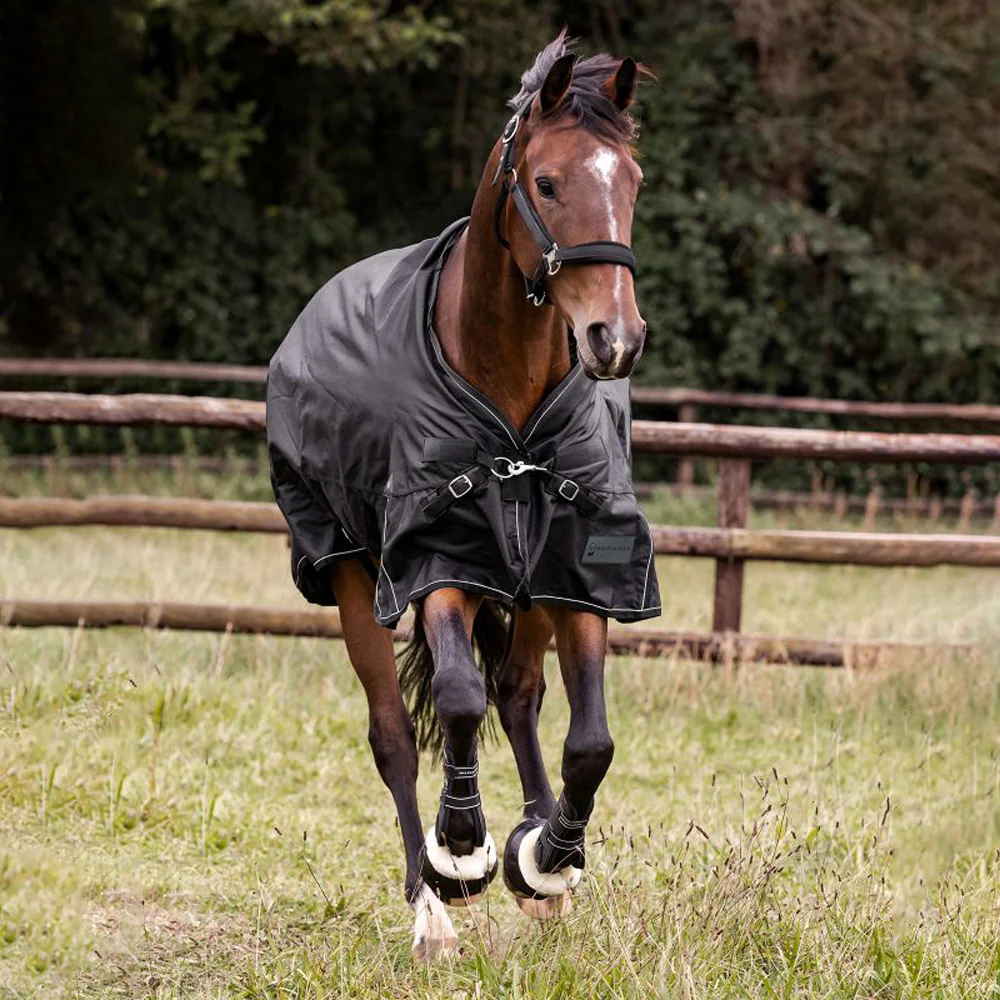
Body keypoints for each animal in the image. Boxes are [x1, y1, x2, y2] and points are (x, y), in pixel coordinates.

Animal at [266, 32, 658, 960]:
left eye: (631, 181)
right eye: (546, 182)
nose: (614, 339)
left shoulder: (575, 569)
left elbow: (590, 740)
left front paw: (546, 856)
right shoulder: (435, 561)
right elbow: (453, 701)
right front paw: (462, 850)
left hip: (525, 585)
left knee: (517, 697)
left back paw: (542, 873)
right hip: (350, 569)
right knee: (395, 733)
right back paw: (429, 904)